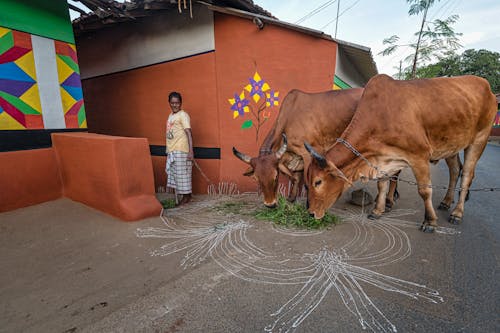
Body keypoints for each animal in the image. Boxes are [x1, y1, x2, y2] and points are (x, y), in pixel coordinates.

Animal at [232, 87, 400, 211]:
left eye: (275, 177)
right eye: (257, 179)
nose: (270, 204)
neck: (289, 116)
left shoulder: (309, 153)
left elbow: (307, 183)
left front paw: (308, 205)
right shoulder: (296, 156)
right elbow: (295, 178)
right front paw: (291, 199)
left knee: (396, 172)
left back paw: (389, 201)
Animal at [304, 74, 496, 231]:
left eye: (318, 182)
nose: (311, 213)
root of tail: (488, 88)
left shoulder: (419, 156)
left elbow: (425, 190)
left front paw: (430, 221)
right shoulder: (385, 158)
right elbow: (382, 185)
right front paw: (377, 210)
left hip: (480, 139)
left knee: (467, 176)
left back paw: (457, 213)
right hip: (451, 147)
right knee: (455, 170)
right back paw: (445, 202)